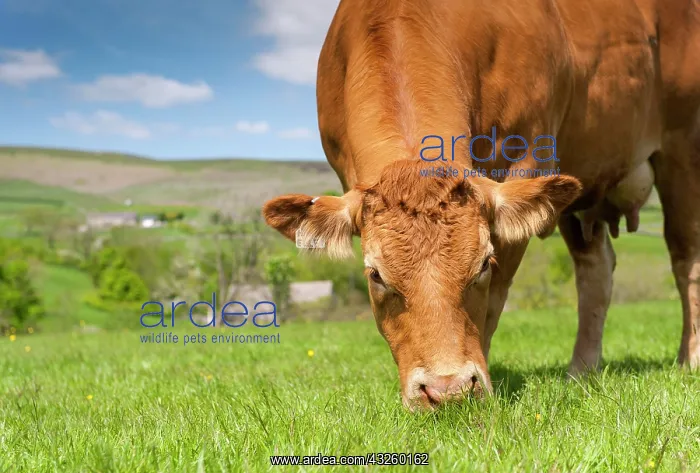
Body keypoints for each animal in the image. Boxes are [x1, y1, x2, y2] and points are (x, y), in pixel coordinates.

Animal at [263, 0, 700, 410]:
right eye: (375, 275)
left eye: (483, 265)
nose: (445, 390)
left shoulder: (524, 165)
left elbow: (494, 302)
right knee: (595, 271)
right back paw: (580, 372)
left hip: (682, 151)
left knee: (686, 258)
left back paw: (689, 361)